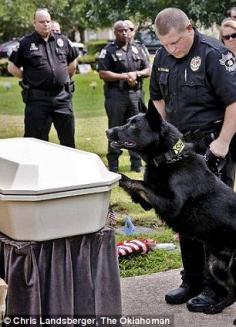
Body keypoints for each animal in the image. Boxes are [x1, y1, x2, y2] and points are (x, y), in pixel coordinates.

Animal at [107, 100, 236, 316]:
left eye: (133, 125)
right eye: (127, 121)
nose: (108, 131)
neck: (170, 157)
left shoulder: (170, 204)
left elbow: (140, 183)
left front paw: (118, 175)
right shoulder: (147, 203)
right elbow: (140, 186)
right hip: (214, 264)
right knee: (232, 291)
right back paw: (215, 307)